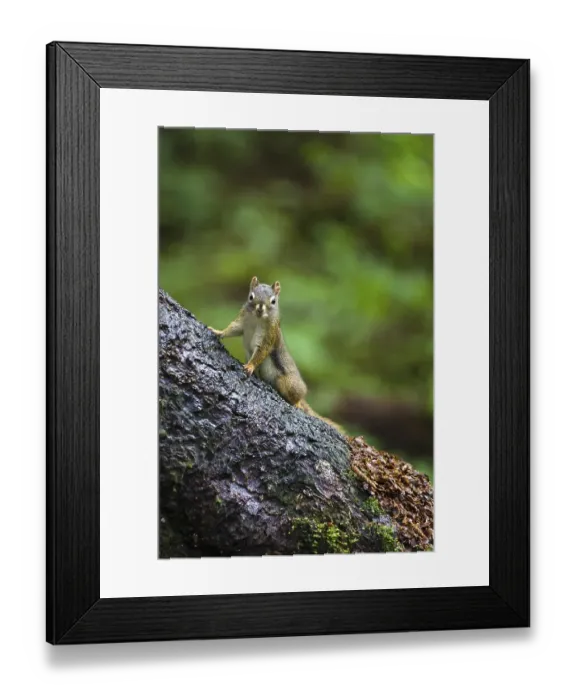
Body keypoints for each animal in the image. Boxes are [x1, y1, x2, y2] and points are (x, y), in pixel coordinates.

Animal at [208, 276, 344, 434]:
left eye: (273, 301)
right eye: (251, 297)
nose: (260, 309)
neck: (257, 320)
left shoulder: (269, 335)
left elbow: (261, 351)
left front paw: (250, 366)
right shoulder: (241, 321)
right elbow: (232, 329)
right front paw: (217, 332)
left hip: (287, 383)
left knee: (296, 395)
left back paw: (298, 403)